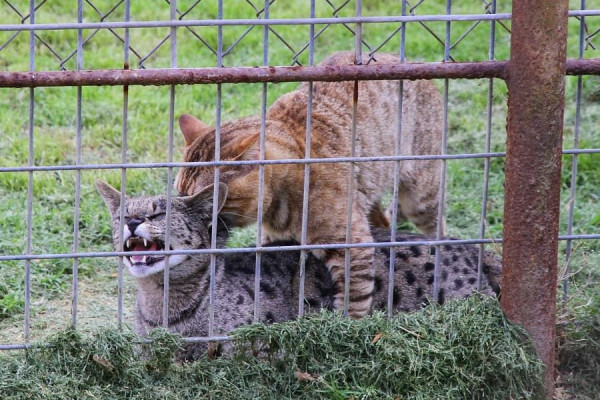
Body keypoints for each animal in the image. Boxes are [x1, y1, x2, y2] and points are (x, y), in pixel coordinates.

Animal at [175, 50, 446, 318]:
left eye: (207, 197)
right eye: (180, 193)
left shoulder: (353, 247)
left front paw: (348, 325)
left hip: (420, 198)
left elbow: (353, 304)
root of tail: (407, 61)